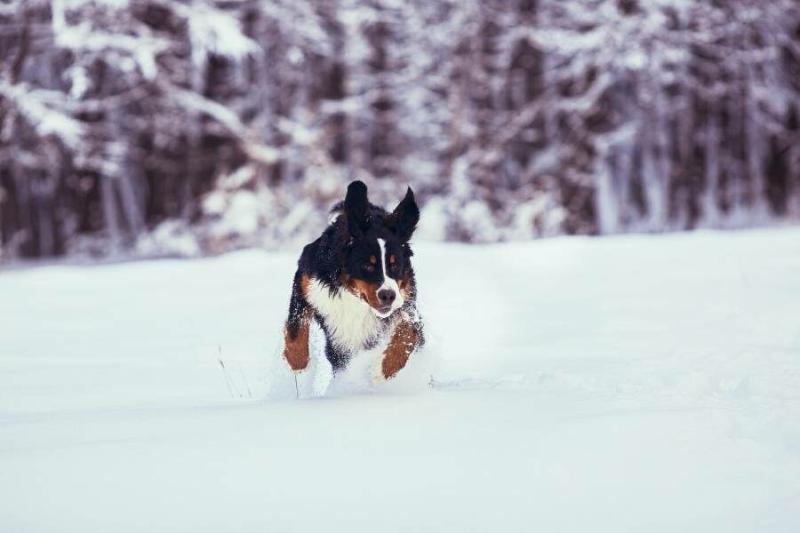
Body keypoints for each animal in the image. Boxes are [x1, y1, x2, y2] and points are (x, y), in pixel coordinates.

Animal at [284, 181, 428, 380]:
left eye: (395, 265)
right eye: (367, 265)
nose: (388, 295)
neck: (351, 295)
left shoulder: (406, 302)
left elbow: (408, 332)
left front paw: (383, 370)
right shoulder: (306, 281)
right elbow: (296, 326)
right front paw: (296, 362)